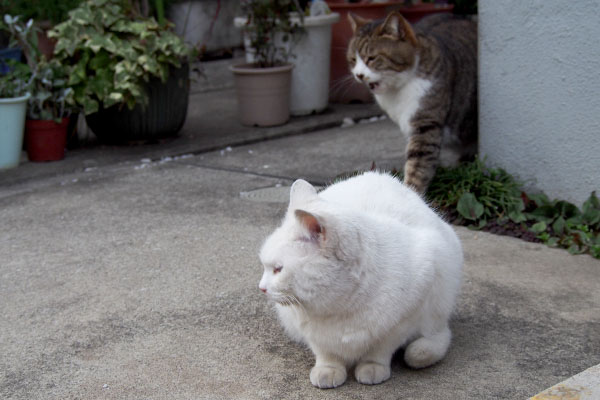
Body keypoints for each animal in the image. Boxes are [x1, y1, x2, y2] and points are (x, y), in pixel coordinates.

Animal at [258, 172, 464, 388]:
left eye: (278, 269)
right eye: (266, 267)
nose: (261, 288)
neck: (340, 305)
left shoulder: (402, 320)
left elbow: (379, 351)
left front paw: (372, 368)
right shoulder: (310, 330)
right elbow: (325, 353)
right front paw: (328, 370)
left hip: (439, 299)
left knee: (436, 338)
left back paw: (421, 351)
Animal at [346, 12, 478, 194]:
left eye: (371, 58)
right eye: (353, 59)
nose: (358, 75)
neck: (397, 92)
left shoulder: (425, 123)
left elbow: (418, 163)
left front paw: (411, 191)